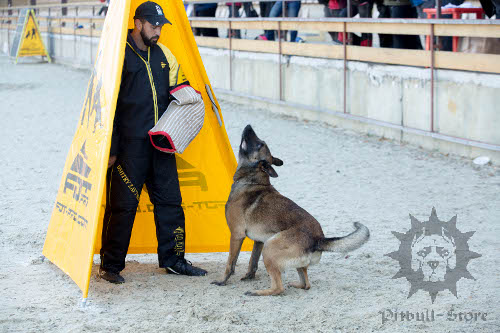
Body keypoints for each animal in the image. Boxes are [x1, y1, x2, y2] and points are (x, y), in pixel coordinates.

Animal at [212, 125, 372, 296]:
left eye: (260, 144)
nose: (249, 126)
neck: (252, 180)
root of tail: (318, 239)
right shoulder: (258, 241)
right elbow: (252, 262)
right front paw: (249, 276)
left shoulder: (237, 235)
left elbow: (230, 263)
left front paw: (222, 281)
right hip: (276, 250)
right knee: (306, 283)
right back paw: (294, 284)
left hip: (269, 248)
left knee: (278, 288)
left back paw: (258, 292)